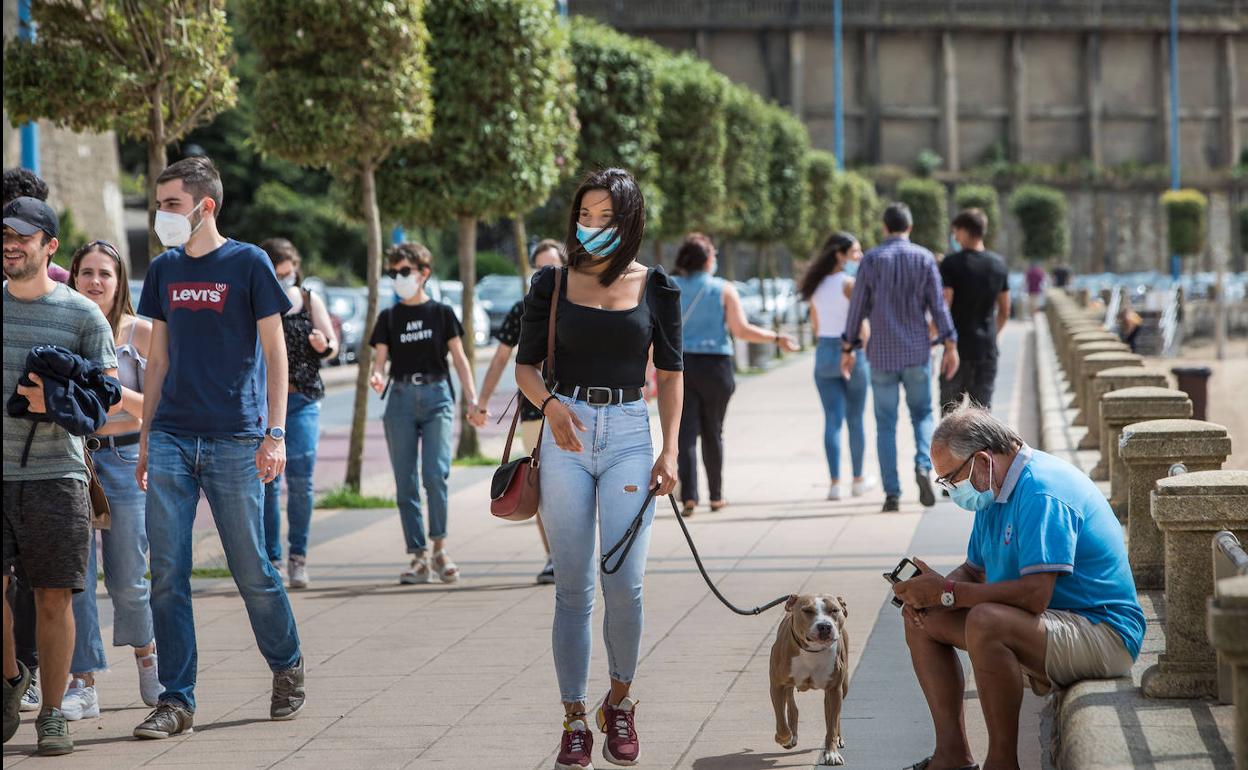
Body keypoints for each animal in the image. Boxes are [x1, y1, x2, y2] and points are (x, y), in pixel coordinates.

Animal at [763, 594, 853, 763]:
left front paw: (832, 753)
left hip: (843, 687)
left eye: (834, 610)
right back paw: (792, 736)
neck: (813, 651)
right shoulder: (777, 685)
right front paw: (784, 738)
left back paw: (837, 738)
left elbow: (832, 723)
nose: (824, 626)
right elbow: (781, 720)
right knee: (791, 706)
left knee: (833, 717)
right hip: (788, 686)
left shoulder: (834, 690)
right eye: (807, 610)